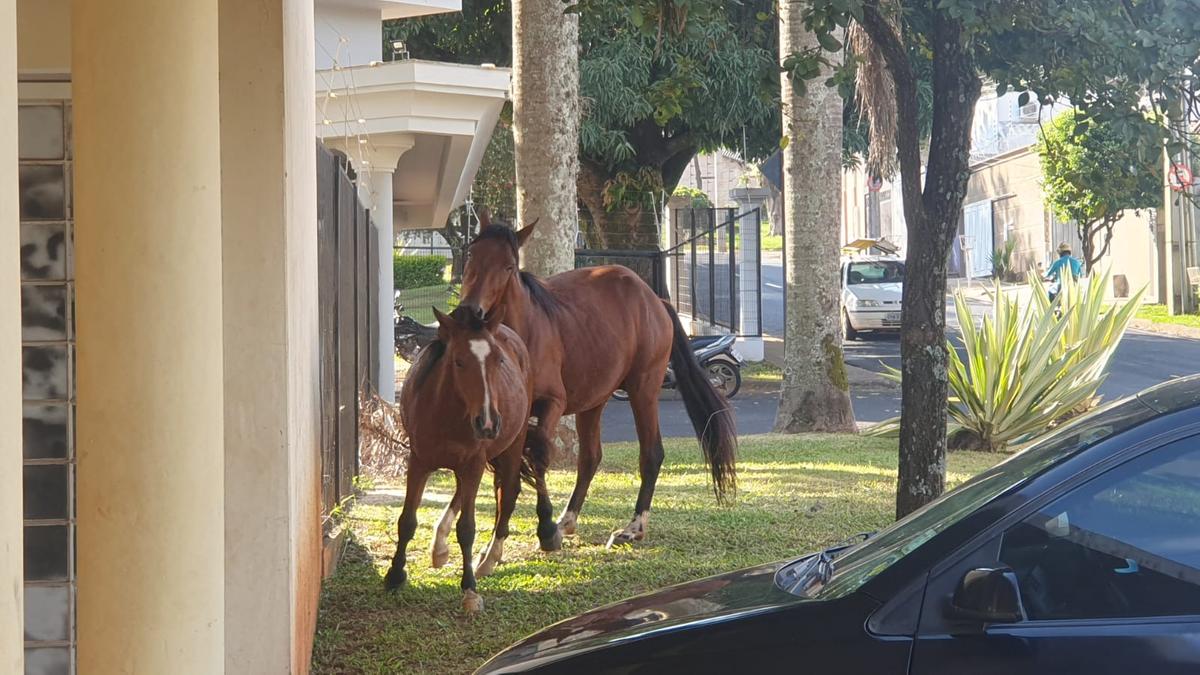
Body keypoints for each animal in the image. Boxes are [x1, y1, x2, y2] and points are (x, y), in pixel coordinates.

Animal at [381, 305, 532, 610]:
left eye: (498, 359)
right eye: (459, 362)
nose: (488, 422)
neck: (445, 413)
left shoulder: (473, 463)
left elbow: (467, 528)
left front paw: (469, 588)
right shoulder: (418, 462)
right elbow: (407, 520)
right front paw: (395, 574)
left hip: (511, 446)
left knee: (508, 492)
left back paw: (489, 558)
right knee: (463, 493)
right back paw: (439, 547)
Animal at [453, 218, 734, 550]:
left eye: (509, 266)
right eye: (472, 255)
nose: (469, 311)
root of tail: (655, 300)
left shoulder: (552, 403)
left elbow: (538, 455)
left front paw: (546, 530)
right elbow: (504, 468)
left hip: (643, 389)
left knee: (651, 453)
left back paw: (633, 527)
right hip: (594, 399)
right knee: (589, 458)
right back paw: (567, 519)